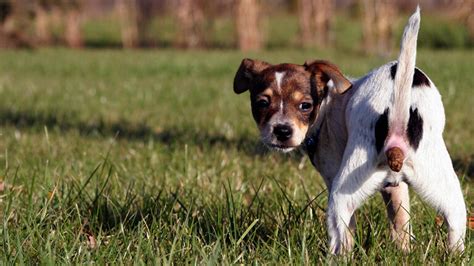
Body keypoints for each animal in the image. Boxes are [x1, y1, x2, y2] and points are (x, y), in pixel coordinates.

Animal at [233, 7, 466, 255]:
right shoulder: (396, 186)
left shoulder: (333, 175)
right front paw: (403, 252)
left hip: (341, 196)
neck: (327, 106)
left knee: (341, 238)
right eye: (262, 103)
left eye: (305, 105)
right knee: (456, 224)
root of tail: (397, 124)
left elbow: (355, 228)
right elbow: (400, 222)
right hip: (445, 188)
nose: (282, 131)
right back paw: (455, 255)